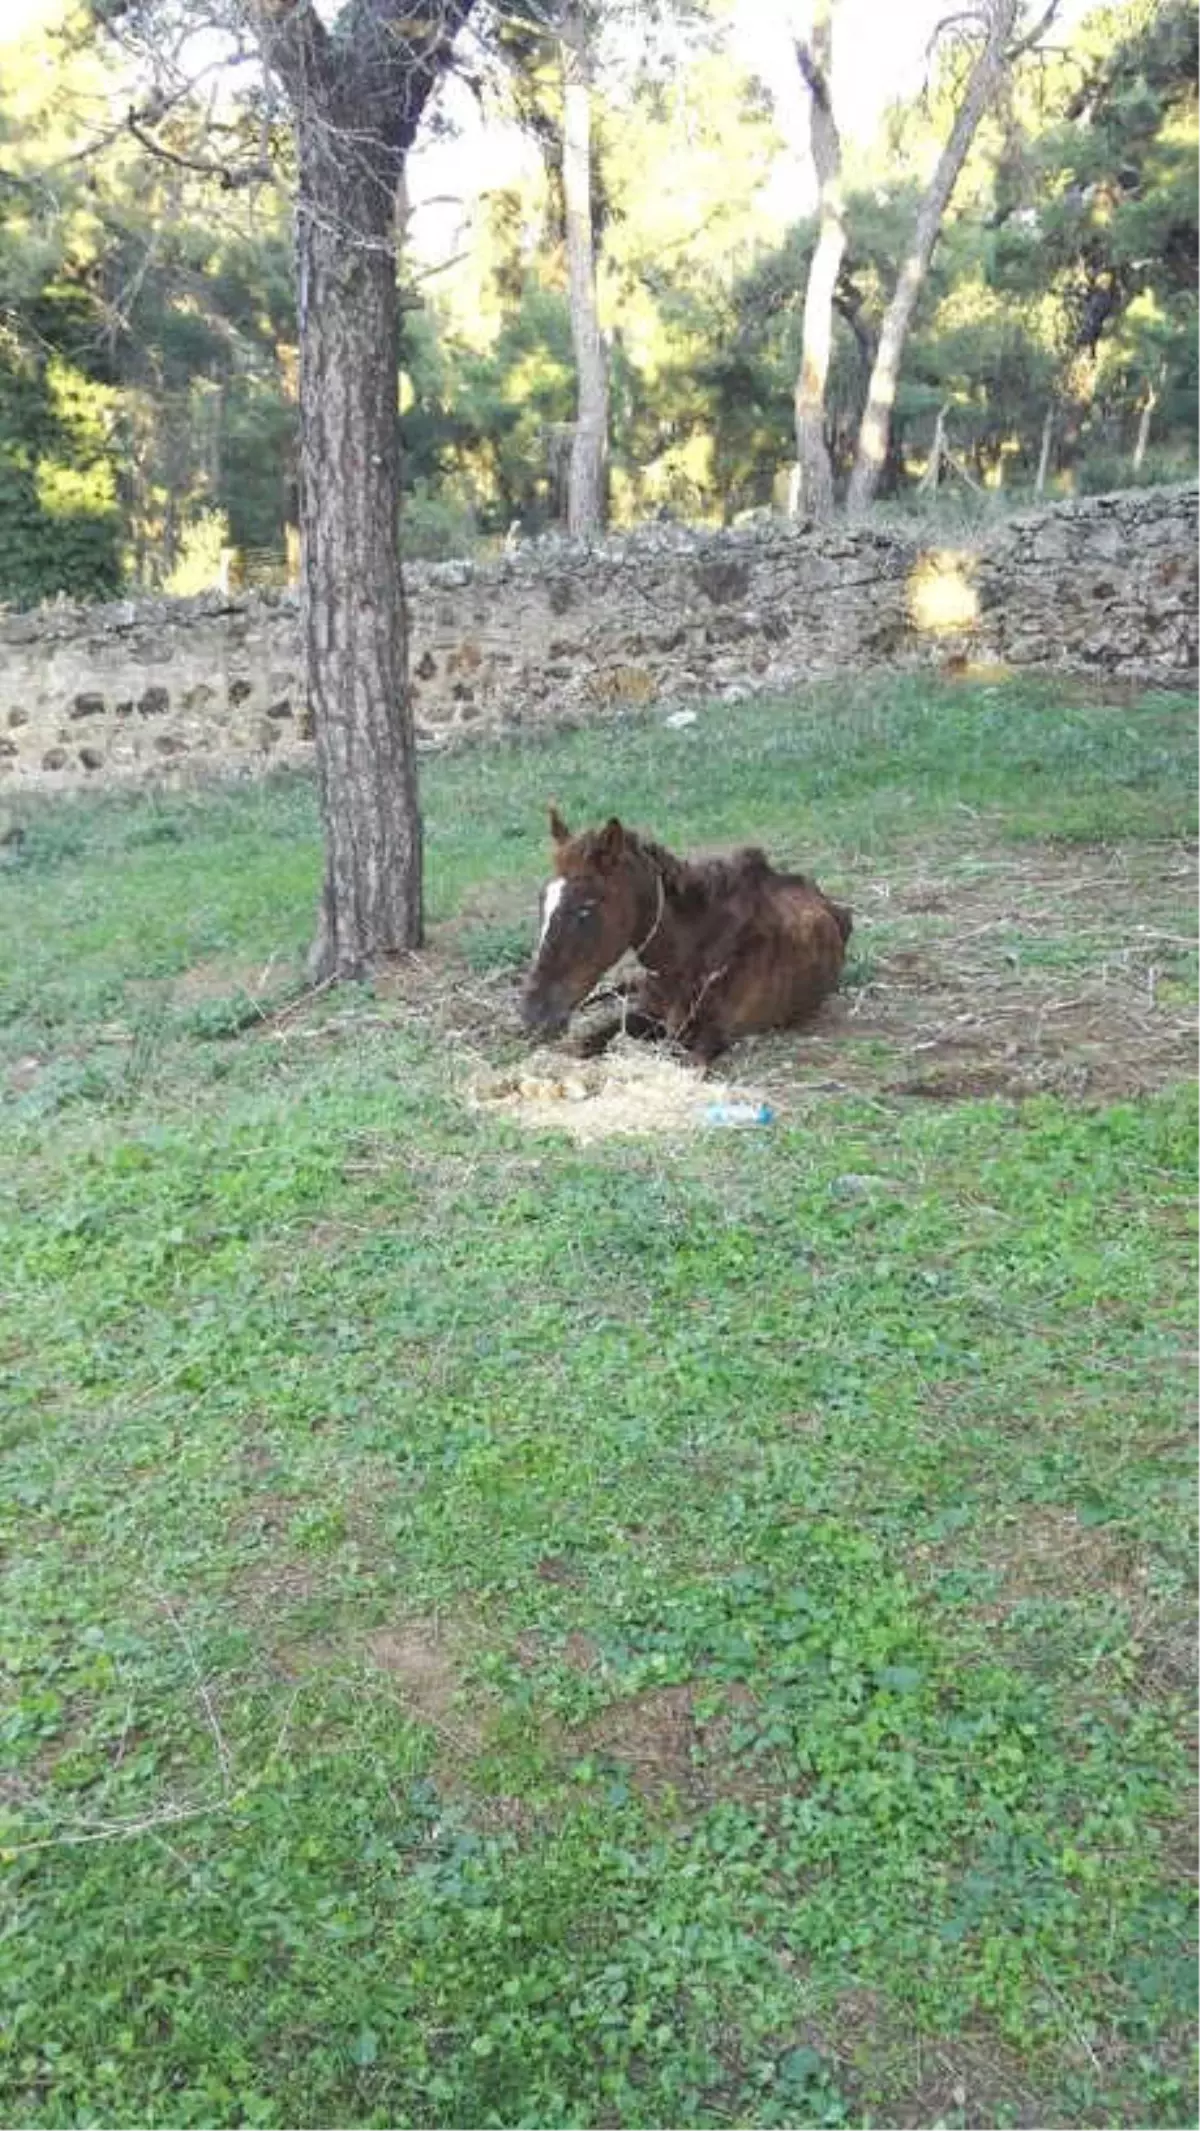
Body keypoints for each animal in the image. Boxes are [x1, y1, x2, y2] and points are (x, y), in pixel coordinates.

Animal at [522, 801, 848, 1061]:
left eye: (585, 909)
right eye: (542, 899)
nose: (534, 1014)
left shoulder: (713, 1037)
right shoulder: (646, 1012)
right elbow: (586, 1043)